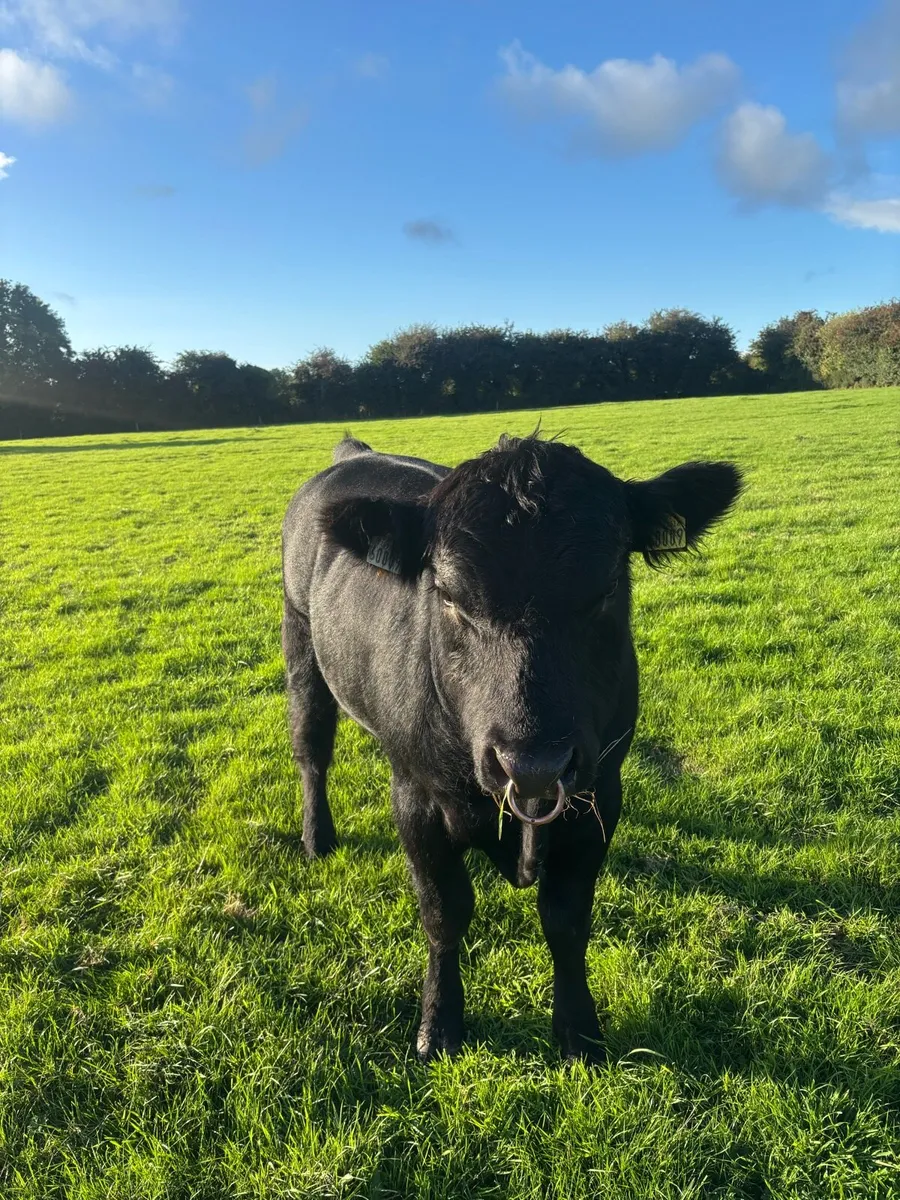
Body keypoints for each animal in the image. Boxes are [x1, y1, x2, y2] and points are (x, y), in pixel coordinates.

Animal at [281, 433, 743, 1063]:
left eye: (606, 588)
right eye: (448, 595)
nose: (533, 764)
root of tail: (353, 455)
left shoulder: (600, 795)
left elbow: (567, 919)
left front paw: (579, 1029)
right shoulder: (416, 798)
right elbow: (444, 912)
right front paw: (439, 1023)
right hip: (299, 637)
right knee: (311, 749)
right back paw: (317, 837)